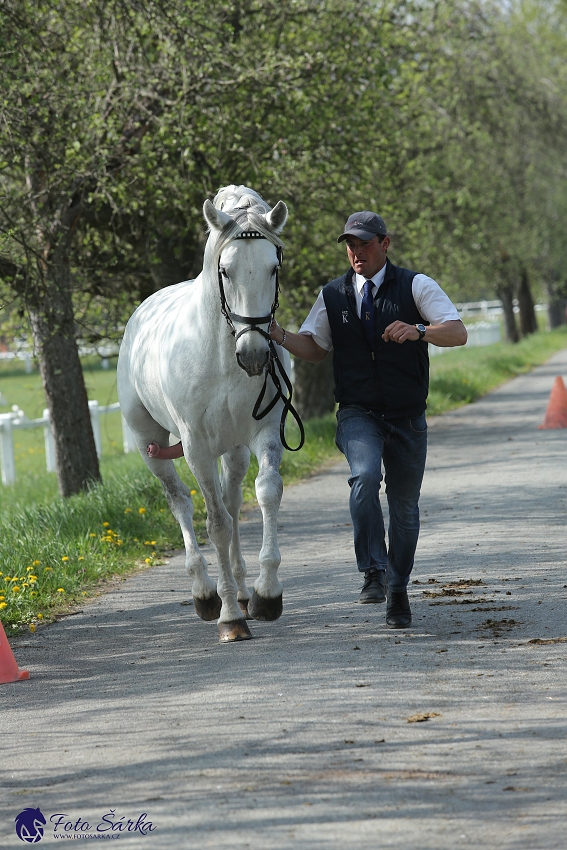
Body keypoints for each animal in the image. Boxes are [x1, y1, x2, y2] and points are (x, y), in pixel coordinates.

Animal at [117, 184, 290, 636]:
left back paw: (243, 591)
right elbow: (215, 523)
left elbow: (266, 494)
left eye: (273, 267)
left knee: (232, 501)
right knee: (182, 502)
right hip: (149, 444)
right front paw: (230, 618)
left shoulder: (264, 432)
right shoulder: (195, 447)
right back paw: (206, 593)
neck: (222, 353)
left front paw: (266, 595)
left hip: (234, 450)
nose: (255, 355)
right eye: (225, 270)